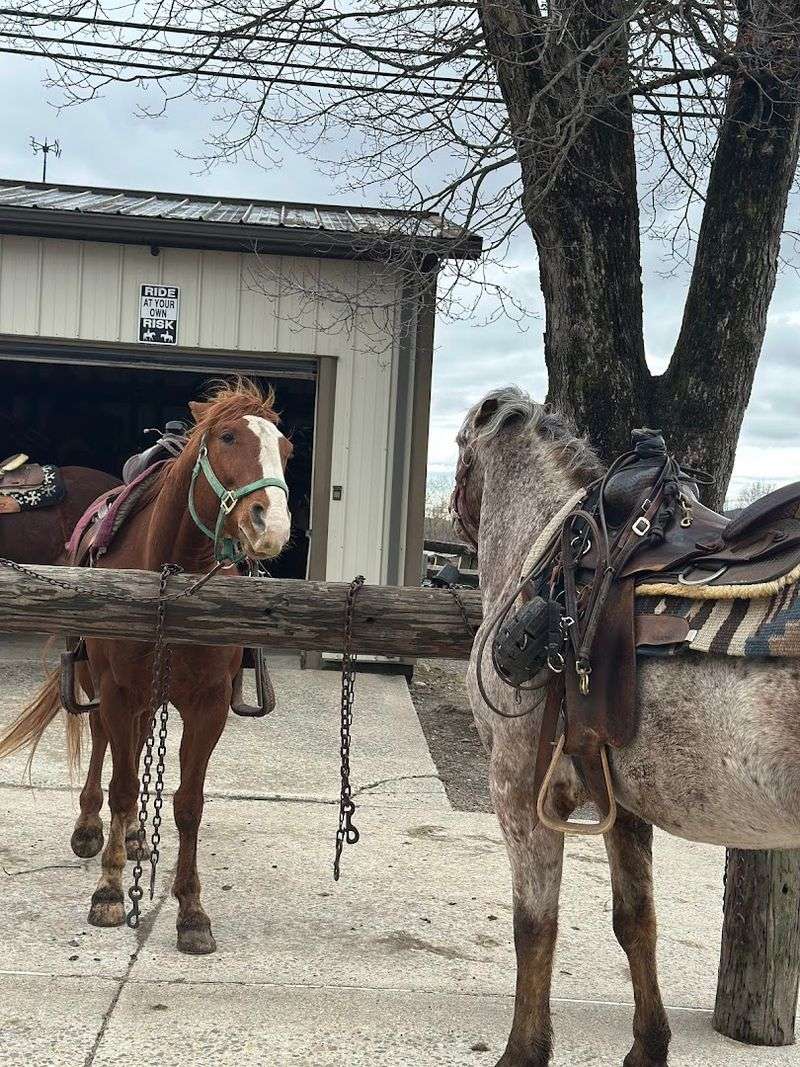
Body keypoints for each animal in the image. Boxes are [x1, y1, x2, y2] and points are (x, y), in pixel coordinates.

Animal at [0, 379, 293, 955]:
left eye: (286, 450)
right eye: (227, 437)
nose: (270, 525)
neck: (168, 578)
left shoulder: (208, 705)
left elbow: (188, 803)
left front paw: (192, 912)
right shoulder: (116, 690)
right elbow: (122, 784)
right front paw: (110, 892)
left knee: (134, 748)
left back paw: (136, 835)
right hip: (98, 682)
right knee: (105, 745)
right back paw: (92, 829)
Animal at [451, 386, 800, 1067]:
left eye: (458, 449)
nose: (457, 515)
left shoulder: (519, 792)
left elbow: (534, 925)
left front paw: (524, 1051)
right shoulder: (621, 800)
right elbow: (636, 920)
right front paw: (648, 1047)